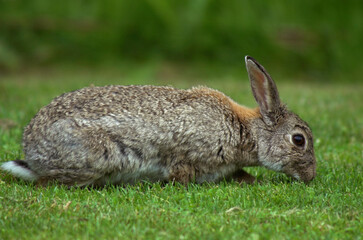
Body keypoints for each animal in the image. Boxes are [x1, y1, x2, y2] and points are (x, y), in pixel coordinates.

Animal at [0, 55, 316, 186]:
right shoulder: (187, 155)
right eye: (298, 140)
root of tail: (32, 150)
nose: (311, 176)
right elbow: (180, 173)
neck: (244, 131)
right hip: (97, 156)